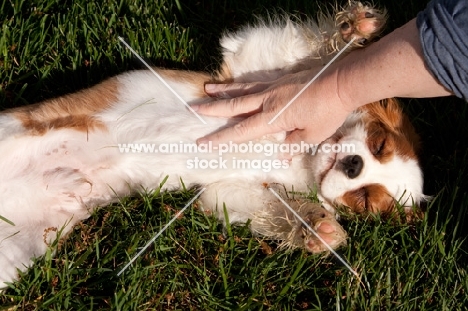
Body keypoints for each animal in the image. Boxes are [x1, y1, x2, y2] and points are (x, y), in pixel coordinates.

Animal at [0, 1, 424, 290]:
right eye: (378, 142)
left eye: (364, 200)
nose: (353, 165)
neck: (301, 152)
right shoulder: (254, 68)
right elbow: (309, 53)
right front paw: (356, 27)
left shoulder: (227, 191)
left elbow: (269, 206)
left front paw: (319, 229)